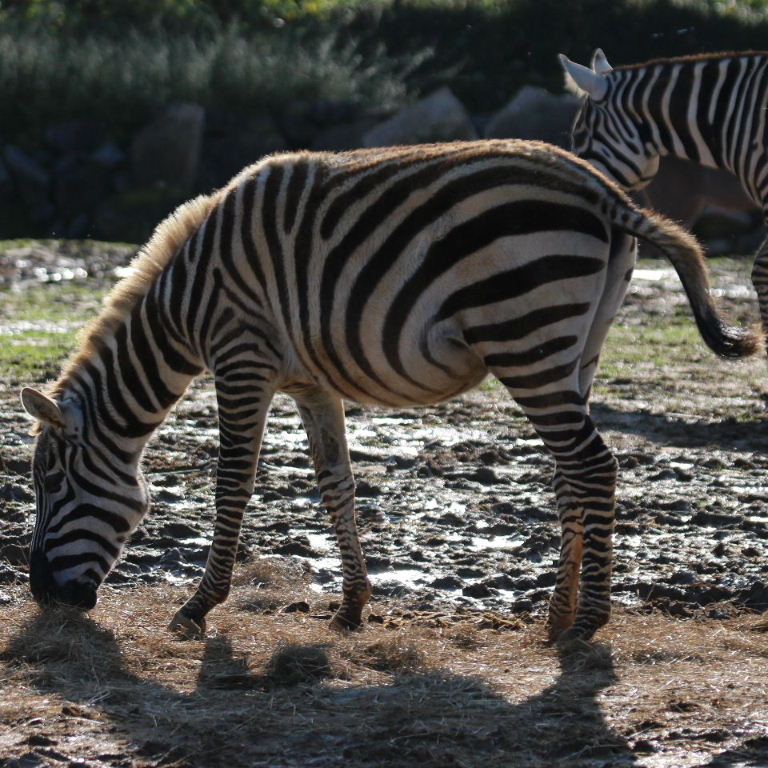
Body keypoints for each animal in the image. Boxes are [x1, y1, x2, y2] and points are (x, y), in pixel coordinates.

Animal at [19, 140, 758, 644]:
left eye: (52, 483)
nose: (41, 595)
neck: (186, 303)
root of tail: (603, 189)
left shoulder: (241, 356)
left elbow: (232, 483)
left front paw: (198, 608)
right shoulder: (309, 381)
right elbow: (335, 483)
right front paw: (351, 607)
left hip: (525, 334)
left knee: (593, 465)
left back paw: (589, 622)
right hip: (580, 345)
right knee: (570, 472)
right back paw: (557, 615)